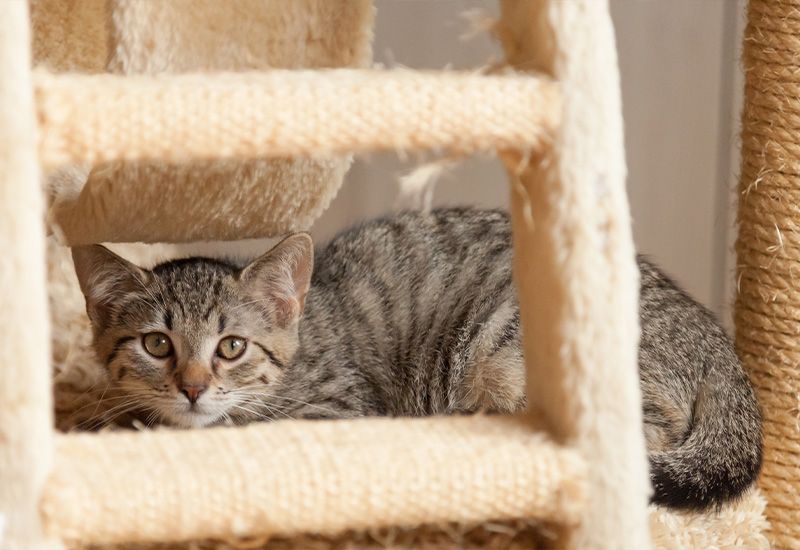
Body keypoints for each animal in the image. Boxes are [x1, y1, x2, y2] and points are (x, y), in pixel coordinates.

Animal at [70, 208, 764, 512]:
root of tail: (713, 340)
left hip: (506, 350)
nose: (191, 388)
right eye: (158, 344)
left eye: (231, 347)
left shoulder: (335, 410)